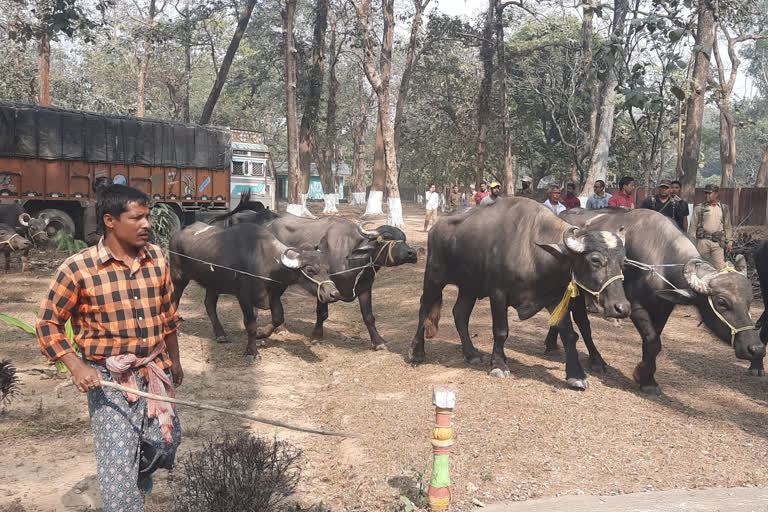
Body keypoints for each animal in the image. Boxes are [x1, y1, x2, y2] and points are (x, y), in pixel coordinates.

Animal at [170, 222, 340, 362]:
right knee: (175, 300)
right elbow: (250, 324)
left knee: (209, 304)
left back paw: (221, 335)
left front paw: (260, 333)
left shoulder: (274, 295)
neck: (267, 263)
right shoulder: (244, 296)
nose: (334, 294)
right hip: (178, 277)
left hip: (213, 283)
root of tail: (176, 235)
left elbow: (278, 318)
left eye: (327, 269)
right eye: (310, 270)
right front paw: (252, 352)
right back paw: (178, 332)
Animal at [408, 197, 632, 388]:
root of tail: (435, 228)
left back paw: (471, 354)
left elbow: (569, 334)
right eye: (595, 260)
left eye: (623, 263)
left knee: (460, 314)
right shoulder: (498, 294)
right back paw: (416, 352)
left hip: (468, 287)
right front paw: (498, 365)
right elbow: (501, 330)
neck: (532, 251)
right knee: (423, 309)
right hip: (434, 278)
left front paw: (576, 375)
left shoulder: (556, 298)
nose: (622, 308)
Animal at [548, 206, 764, 394]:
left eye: (749, 302)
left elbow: (653, 341)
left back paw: (553, 344)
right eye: (722, 303)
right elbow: (653, 342)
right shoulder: (634, 305)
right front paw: (646, 379)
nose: (756, 348)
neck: (659, 256)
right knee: (582, 323)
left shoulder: (663, 306)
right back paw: (594, 359)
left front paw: (646, 376)